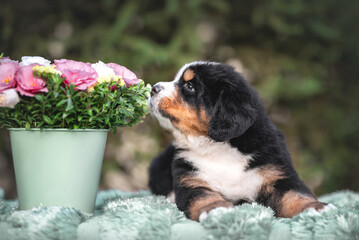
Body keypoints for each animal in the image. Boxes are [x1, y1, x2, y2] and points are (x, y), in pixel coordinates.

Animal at [148, 61, 328, 221]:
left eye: (189, 86)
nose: (153, 88)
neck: (217, 147)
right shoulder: (191, 181)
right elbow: (203, 198)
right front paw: (216, 209)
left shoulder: (277, 175)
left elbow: (295, 195)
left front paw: (315, 208)